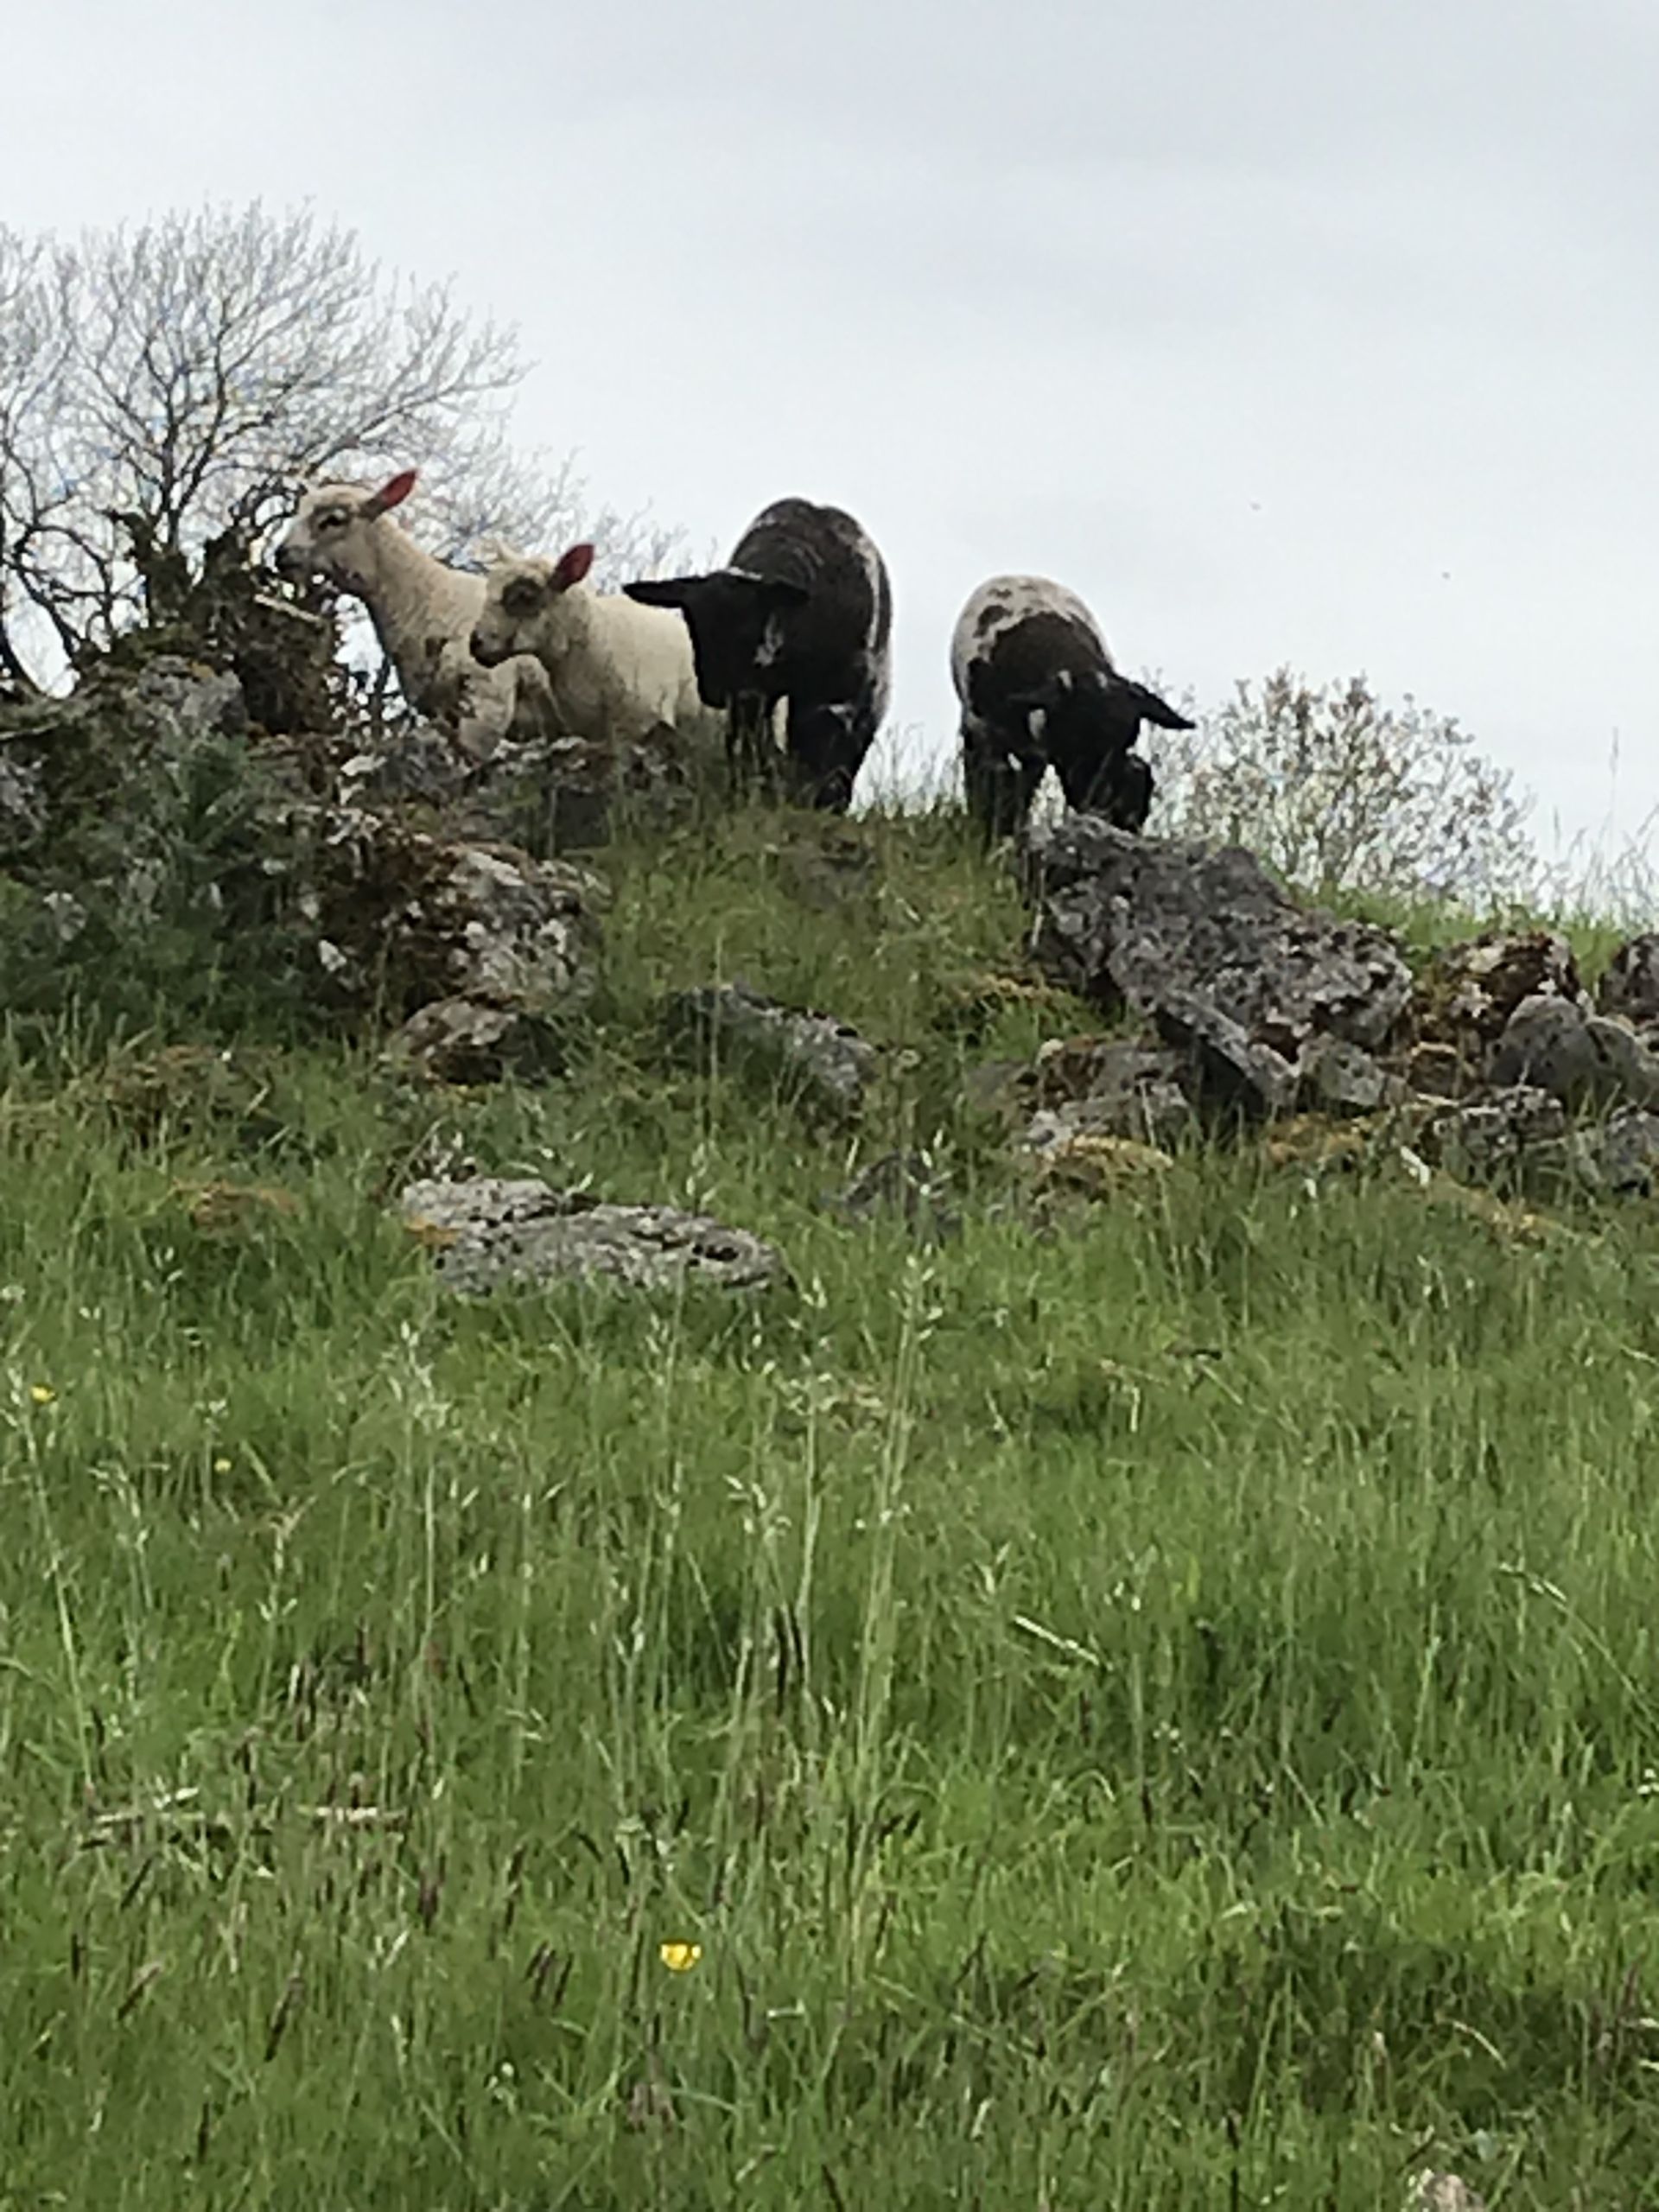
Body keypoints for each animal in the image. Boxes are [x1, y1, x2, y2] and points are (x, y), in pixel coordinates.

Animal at [622, 496, 892, 813]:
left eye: (746, 624)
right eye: (691, 622)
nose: (713, 690)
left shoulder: (841, 689)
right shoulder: (752, 693)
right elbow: (749, 743)